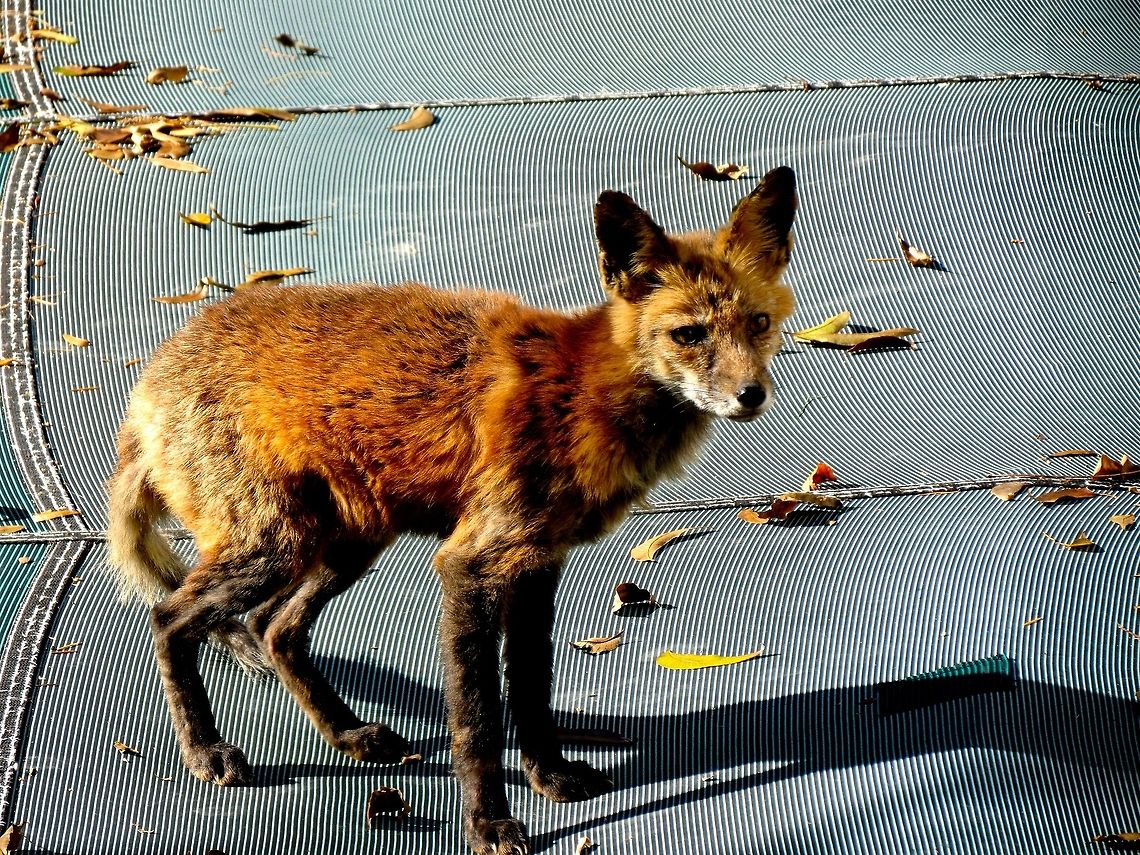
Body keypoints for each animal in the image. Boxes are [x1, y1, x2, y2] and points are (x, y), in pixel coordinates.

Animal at [106, 166, 797, 855]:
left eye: (759, 323)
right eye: (690, 334)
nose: (751, 395)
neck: (581, 397)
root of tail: (151, 375)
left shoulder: (536, 562)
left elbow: (532, 691)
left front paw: (550, 778)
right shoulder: (471, 562)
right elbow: (478, 717)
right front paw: (487, 822)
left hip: (344, 545)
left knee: (276, 628)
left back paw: (348, 735)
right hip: (274, 547)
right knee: (171, 618)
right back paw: (205, 752)